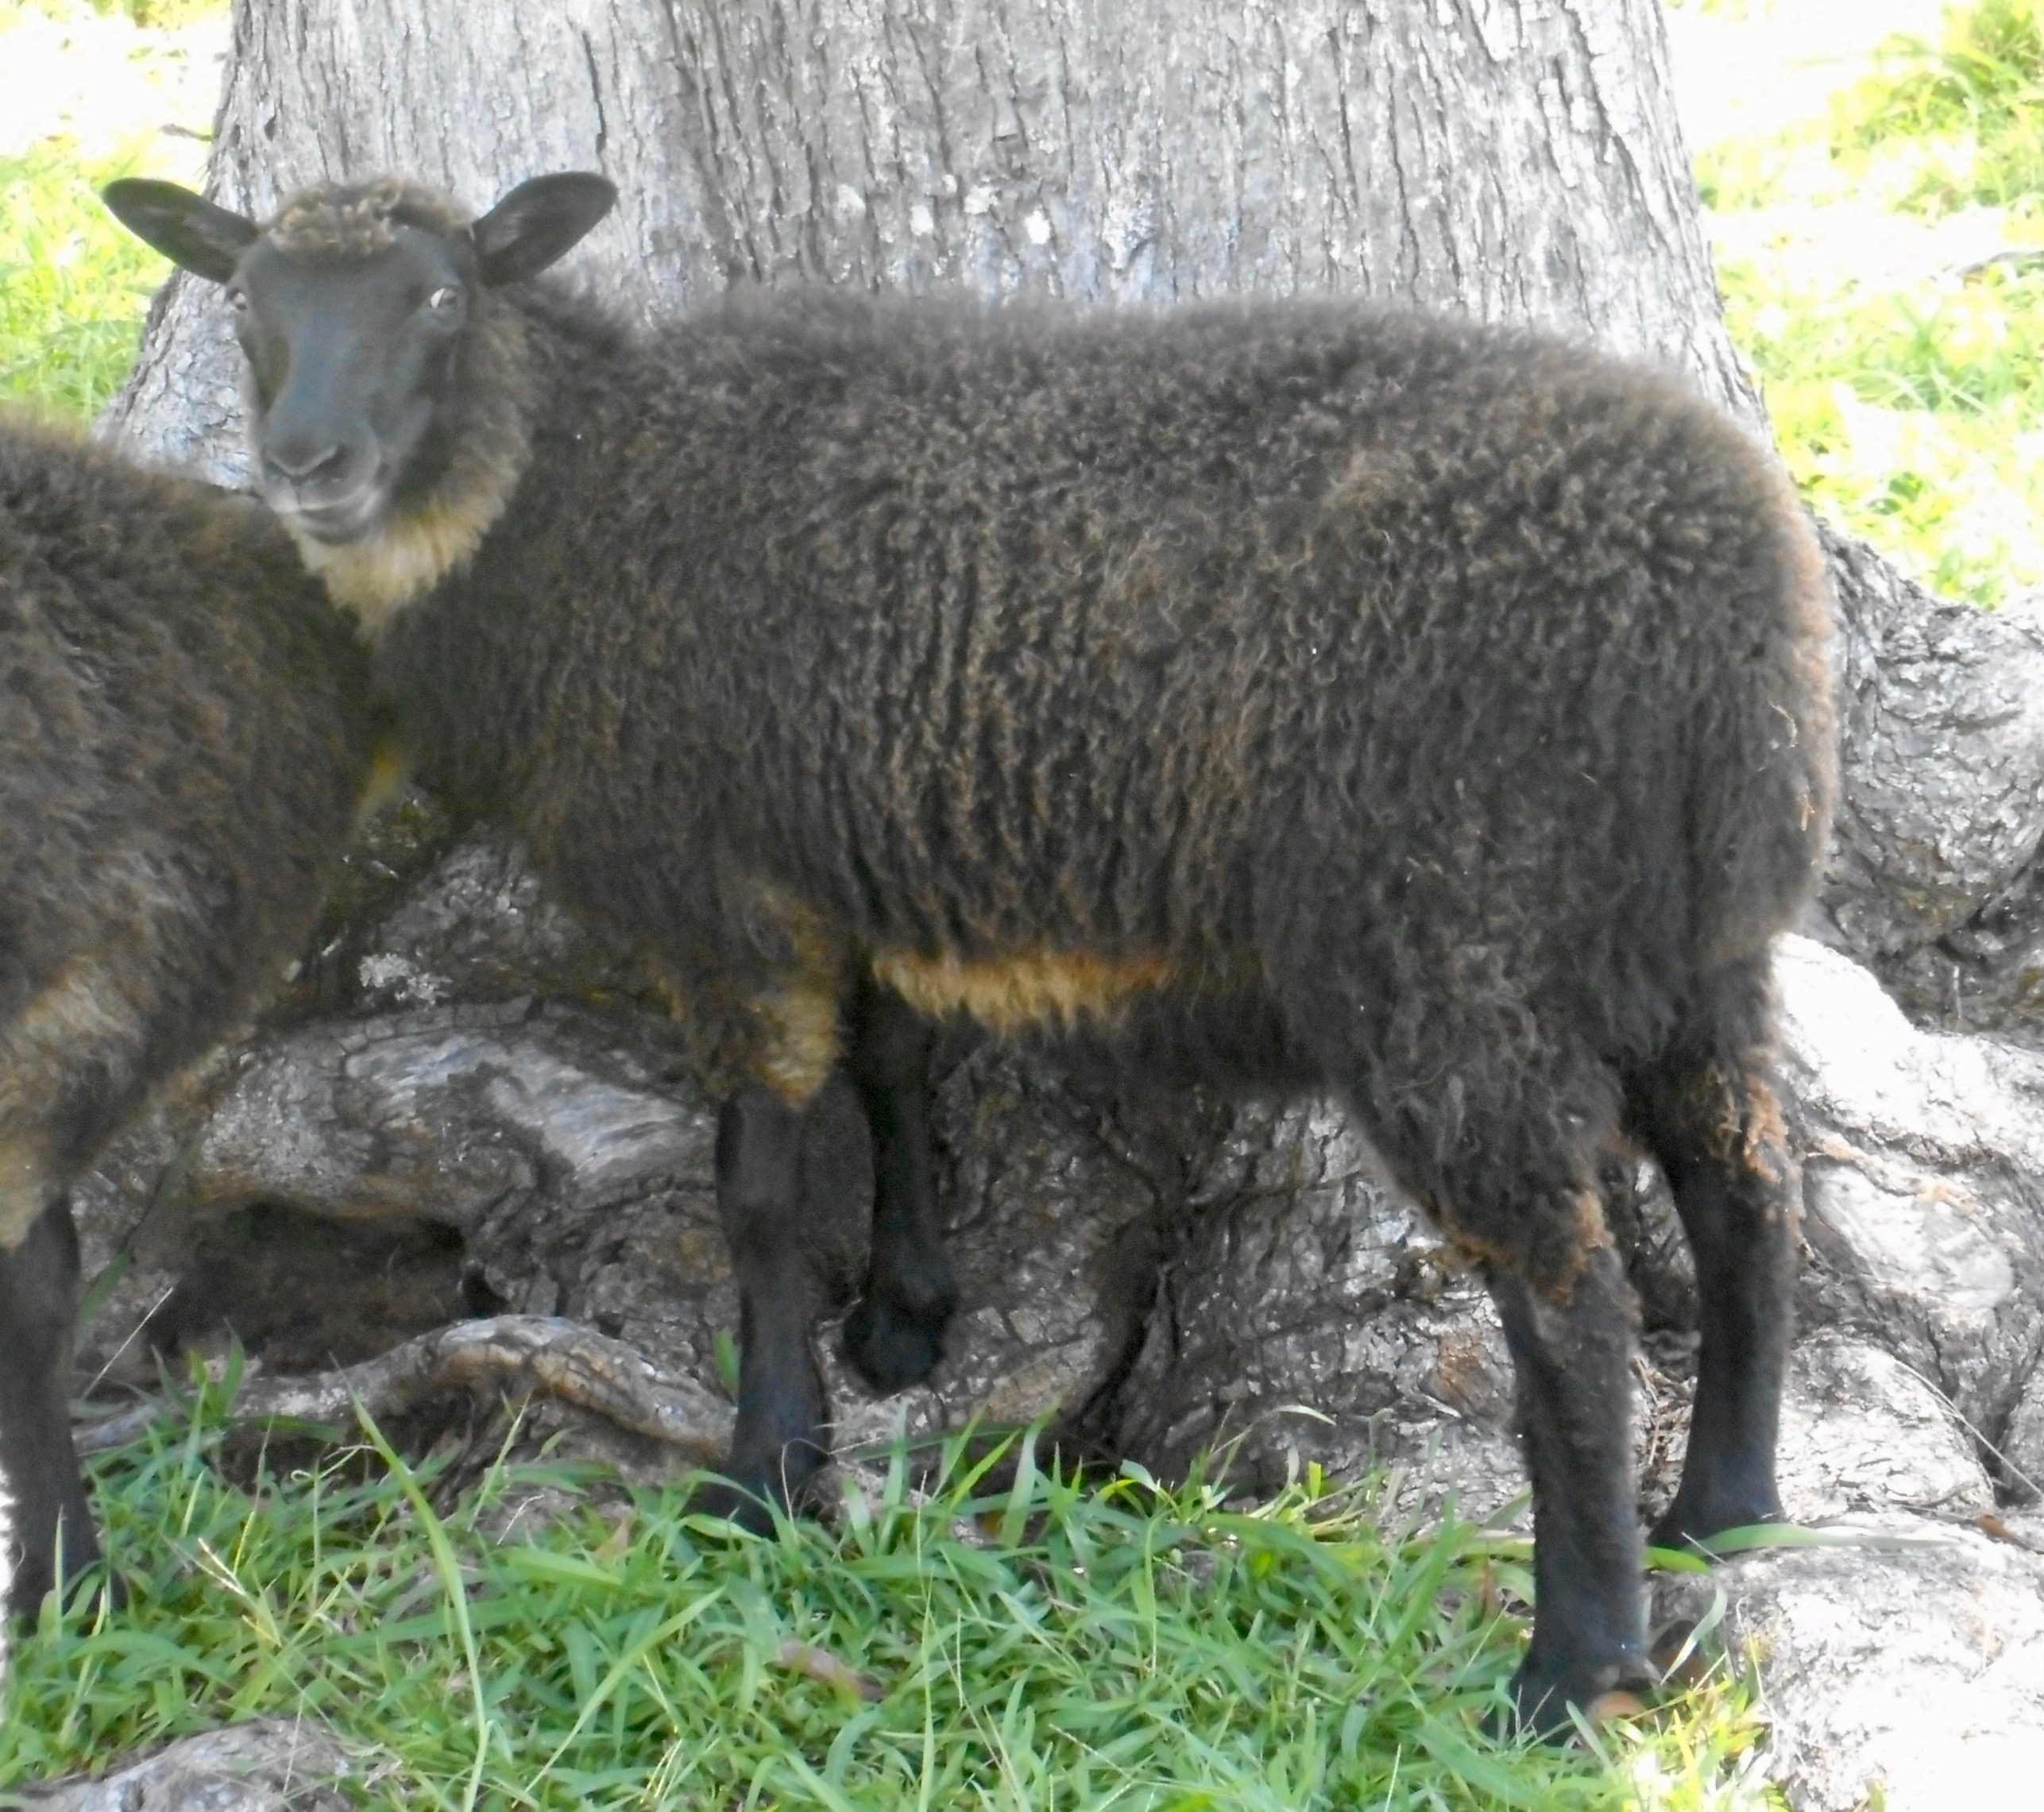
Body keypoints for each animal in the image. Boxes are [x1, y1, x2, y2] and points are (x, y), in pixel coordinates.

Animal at [107, 176, 1839, 1732]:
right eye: (246, 304)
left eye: (440, 299)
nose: (305, 468)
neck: (574, 499)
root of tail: (1720, 592)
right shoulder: (848, 866)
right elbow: (889, 1070)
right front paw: (903, 1316)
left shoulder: (727, 896)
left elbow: (755, 1192)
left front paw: (767, 1468)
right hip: (1695, 940)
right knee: (1745, 1185)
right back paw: (1725, 1507)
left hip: (1449, 948)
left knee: (1569, 1301)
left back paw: (1573, 1666)